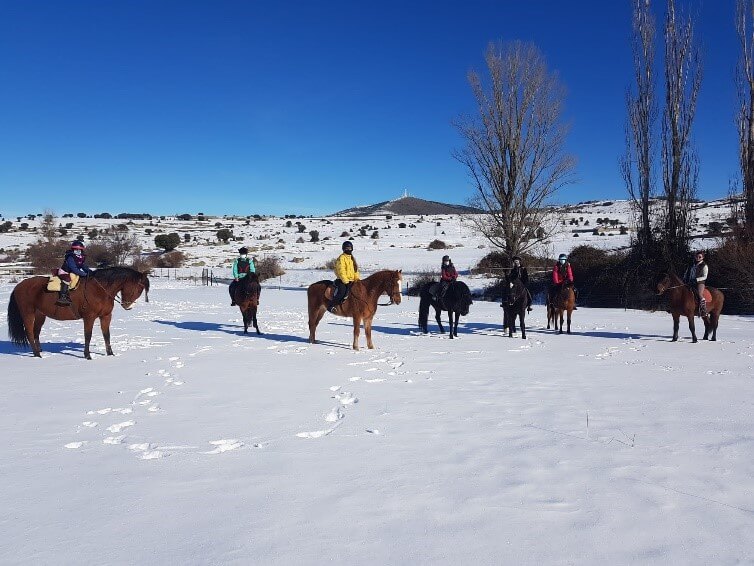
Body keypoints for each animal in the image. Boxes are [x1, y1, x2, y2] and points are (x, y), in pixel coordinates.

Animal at [6, 268, 149, 362]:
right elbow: (88, 336)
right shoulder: (89, 317)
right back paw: (37, 354)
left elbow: (106, 335)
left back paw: (39, 351)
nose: (127, 305)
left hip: (40, 315)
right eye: (139, 288)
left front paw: (110, 354)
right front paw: (87, 355)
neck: (100, 290)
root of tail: (19, 286)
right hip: (28, 313)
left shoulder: (106, 316)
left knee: (36, 332)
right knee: (30, 332)